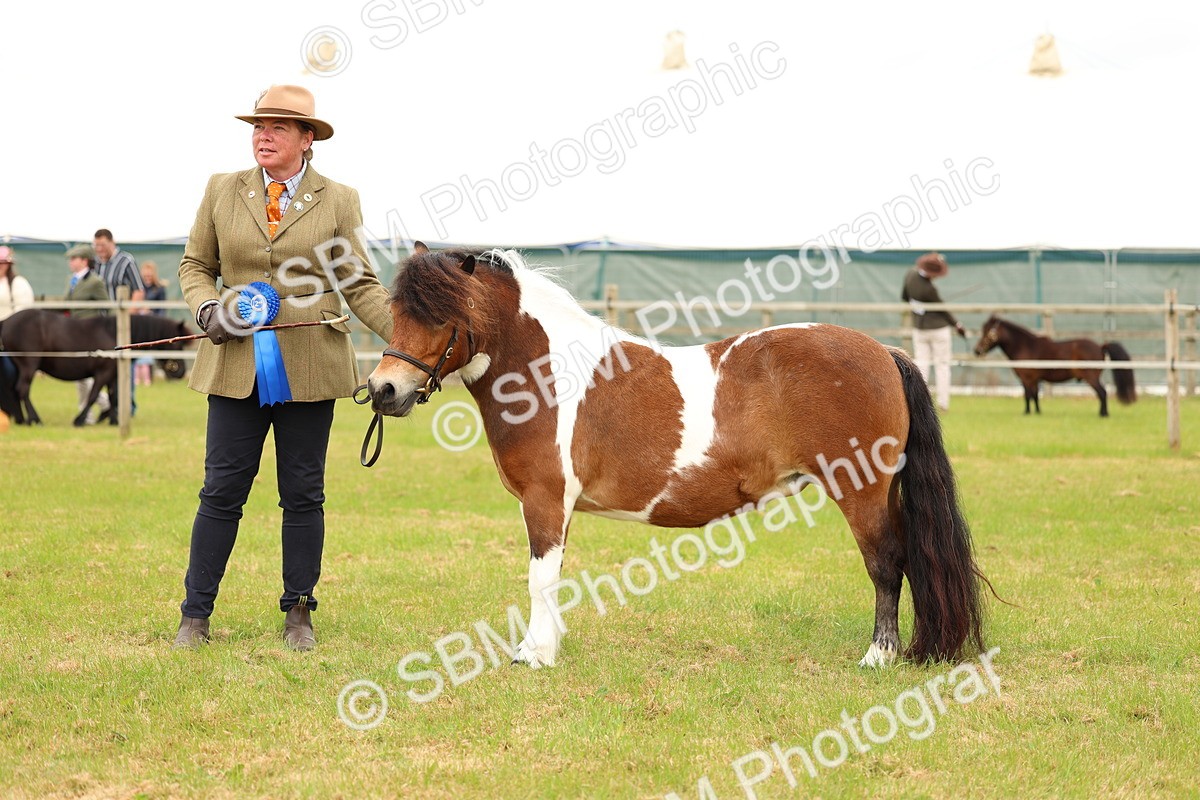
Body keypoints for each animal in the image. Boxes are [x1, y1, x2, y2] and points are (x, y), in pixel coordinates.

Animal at [0, 310, 190, 426]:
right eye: (177, 344)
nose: (180, 372)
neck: (113, 334)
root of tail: (7, 321)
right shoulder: (103, 373)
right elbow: (93, 396)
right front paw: (79, 420)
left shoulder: (112, 375)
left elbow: (113, 397)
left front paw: (113, 420)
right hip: (29, 365)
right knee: (23, 390)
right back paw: (35, 419)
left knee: (15, 390)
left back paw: (22, 419)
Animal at [366, 244, 990, 669]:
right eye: (397, 310)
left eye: (442, 314)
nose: (382, 390)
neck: (546, 375)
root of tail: (883, 351)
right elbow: (556, 577)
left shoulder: (545, 500)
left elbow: (540, 578)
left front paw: (534, 654)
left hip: (860, 489)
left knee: (887, 563)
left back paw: (878, 655)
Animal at [973, 315, 1136, 416]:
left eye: (988, 332)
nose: (977, 350)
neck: (1025, 346)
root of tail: (1100, 346)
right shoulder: (1035, 379)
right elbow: (1035, 396)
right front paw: (1037, 412)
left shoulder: (1026, 378)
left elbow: (1027, 395)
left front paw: (1027, 413)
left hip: (1091, 377)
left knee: (1102, 393)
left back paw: (1103, 414)